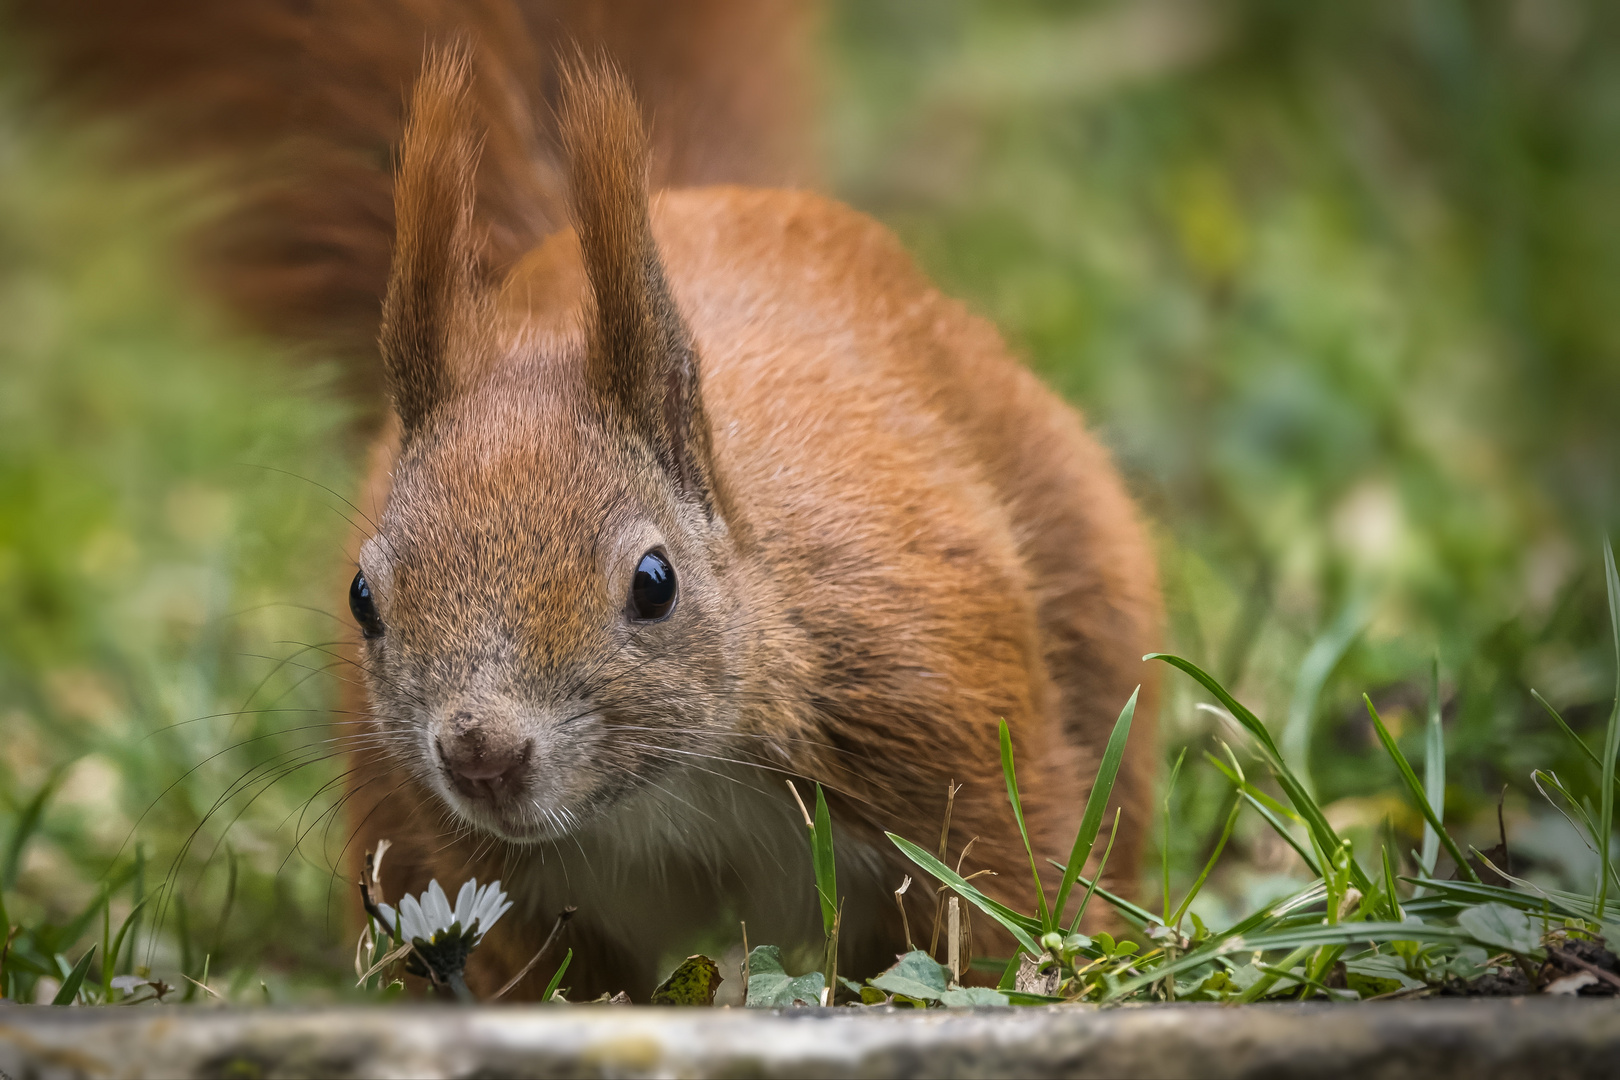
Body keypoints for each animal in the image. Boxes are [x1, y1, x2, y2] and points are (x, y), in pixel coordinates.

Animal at [25, 0, 1166, 1003]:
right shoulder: (484, 883)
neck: (672, 788)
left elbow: (1004, 893)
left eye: (655, 583)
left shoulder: (933, 716)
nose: (478, 752)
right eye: (361, 597)